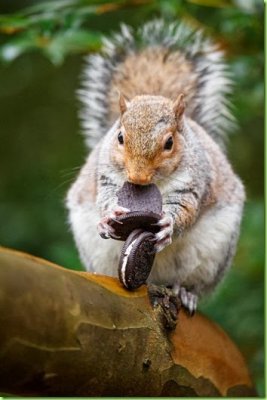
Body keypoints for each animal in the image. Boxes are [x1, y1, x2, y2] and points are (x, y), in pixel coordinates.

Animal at [66, 20, 245, 314]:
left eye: (169, 143)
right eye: (120, 137)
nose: (137, 178)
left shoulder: (196, 182)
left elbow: (186, 208)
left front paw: (168, 225)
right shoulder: (105, 177)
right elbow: (105, 197)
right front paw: (108, 216)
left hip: (212, 255)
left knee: (190, 283)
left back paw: (185, 293)